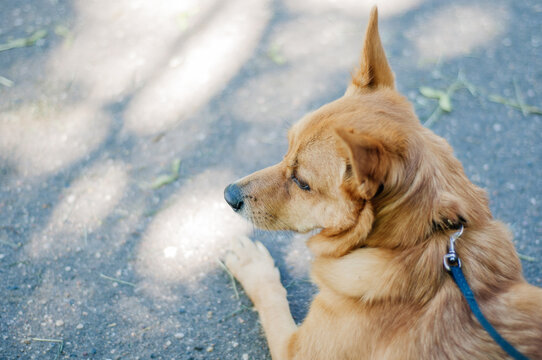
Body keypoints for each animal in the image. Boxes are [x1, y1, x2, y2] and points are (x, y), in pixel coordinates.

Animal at [224, 8, 542, 360]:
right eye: (287, 149)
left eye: (301, 182)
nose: (228, 195)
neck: (418, 239)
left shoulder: (293, 349)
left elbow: (271, 296)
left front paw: (252, 264)